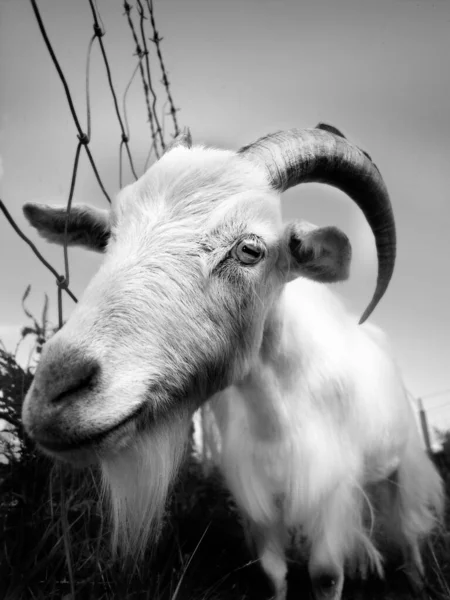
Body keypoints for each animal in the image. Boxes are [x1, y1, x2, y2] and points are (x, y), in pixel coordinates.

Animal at [22, 124, 442, 596]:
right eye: (110, 236)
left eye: (250, 249)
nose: (55, 394)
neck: (275, 414)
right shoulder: (256, 497)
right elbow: (273, 571)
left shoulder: (330, 491)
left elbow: (327, 573)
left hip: (403, 461)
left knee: (408, 528)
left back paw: (418, 580)